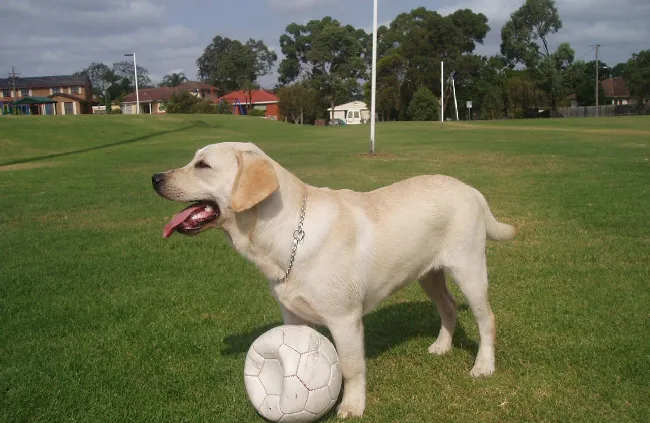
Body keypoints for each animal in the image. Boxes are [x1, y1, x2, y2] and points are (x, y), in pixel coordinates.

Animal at [149, 142, 512, 418]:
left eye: (203, 165)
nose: (154, 177)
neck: (286, 237)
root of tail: (471, 189)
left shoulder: (344, 319)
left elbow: (351, 367)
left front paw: (352, 407)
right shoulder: (291, 316)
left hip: (469, 269)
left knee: (487, 319)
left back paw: (483, 366)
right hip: (428, 274)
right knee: (448, 306)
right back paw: (441, 346)